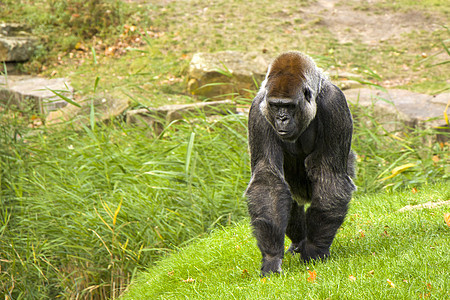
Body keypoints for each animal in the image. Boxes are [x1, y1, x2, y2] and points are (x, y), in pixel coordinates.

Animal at [244, 51, 356, 276]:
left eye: (289, 106)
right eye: (276, 105)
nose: (282, 119)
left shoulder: (334, 104)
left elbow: (329, 176)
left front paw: (315, 249)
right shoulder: (259, 112)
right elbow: (267, 181)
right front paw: (272, 257)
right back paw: (298, 241)